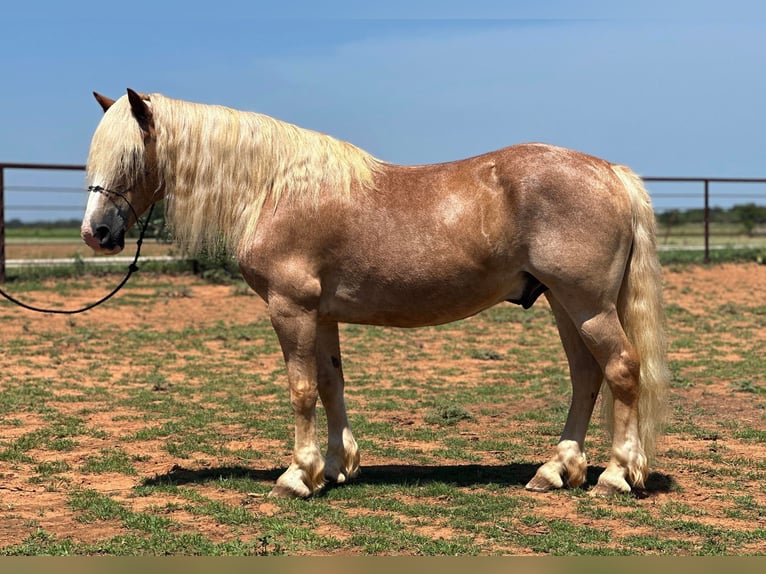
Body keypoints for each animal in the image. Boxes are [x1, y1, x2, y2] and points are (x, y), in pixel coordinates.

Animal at [81, 89, 668, 500]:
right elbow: (330, 384)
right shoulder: (321, 314)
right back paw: (556, 469)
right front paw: (334, 468)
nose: (96, 233)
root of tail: (610, 172)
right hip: (564, 304)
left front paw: (297, 476)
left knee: (620, 369)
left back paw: (616, 475)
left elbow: (301, 389)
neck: (276, 190)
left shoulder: (291, 308)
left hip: (586, 305)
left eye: (131, 156)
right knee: (586, 375)